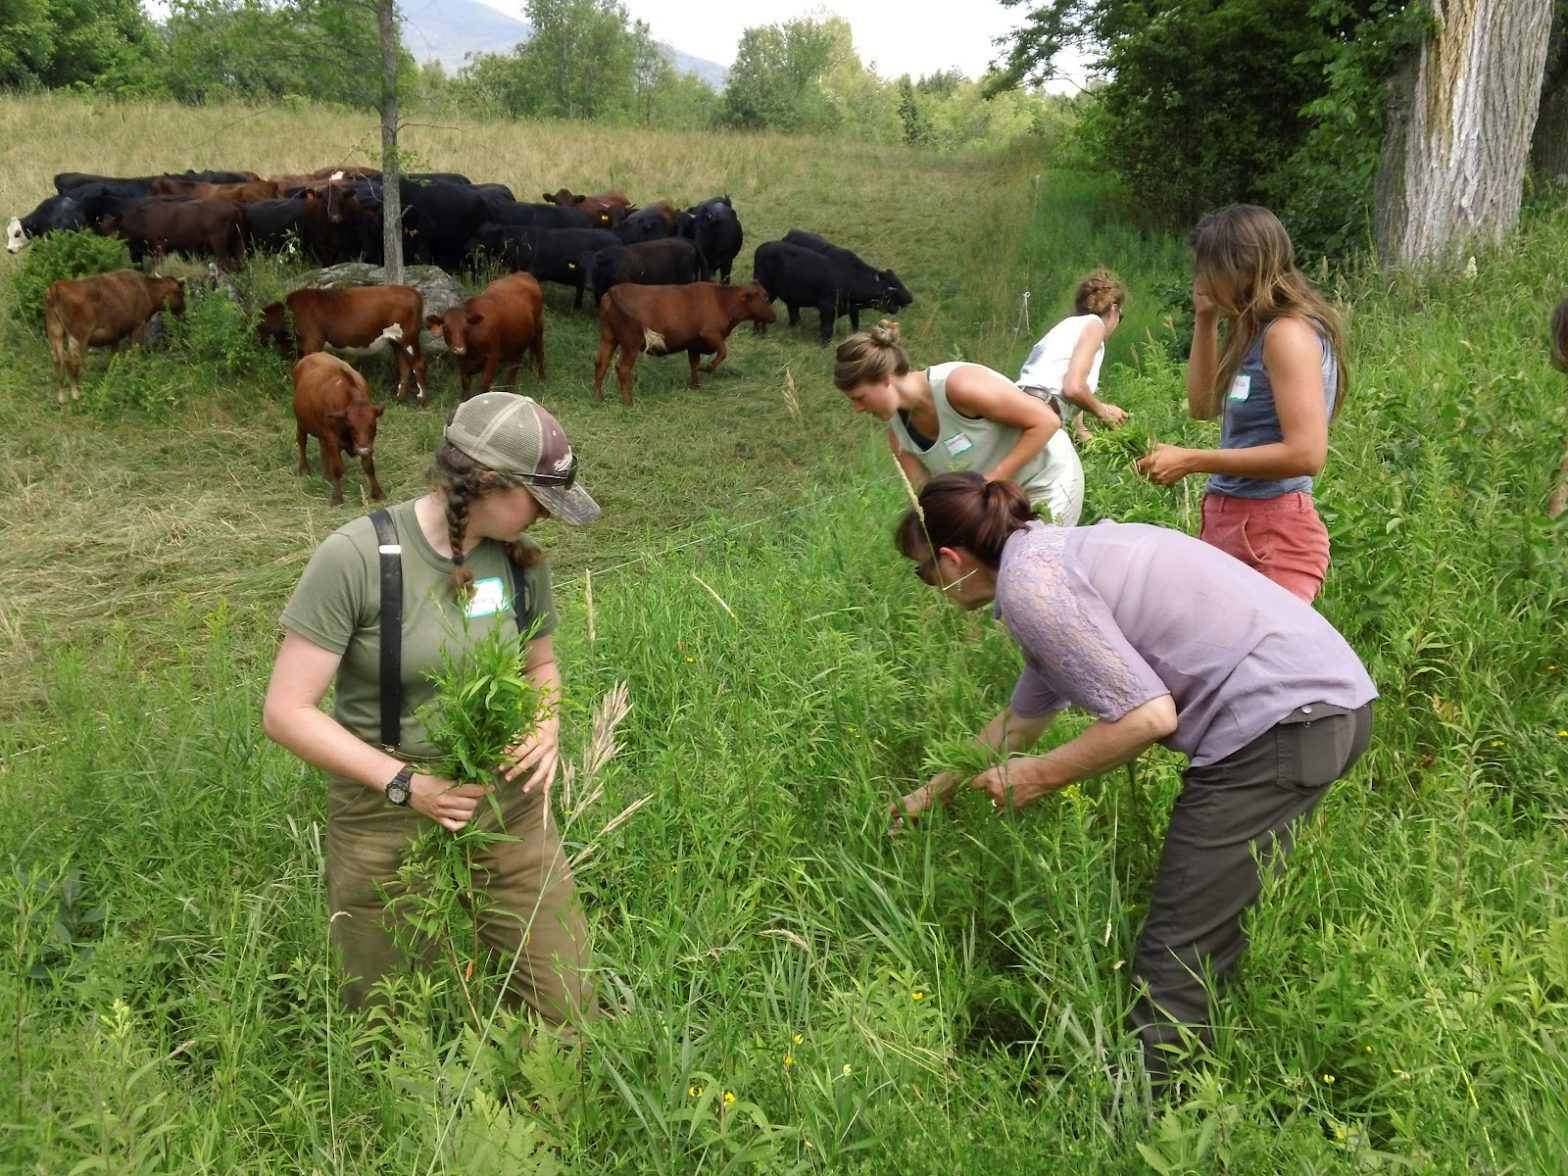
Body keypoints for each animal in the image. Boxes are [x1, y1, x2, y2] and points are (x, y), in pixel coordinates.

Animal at [43, 271, 185, 410]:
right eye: (180, 292)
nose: (183, 310)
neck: (147, 290)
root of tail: (56, 286)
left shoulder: (113, 336)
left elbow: (115, 359)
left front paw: (115, 379)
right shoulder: (138, 325)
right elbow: (134, 354)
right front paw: (135, 377)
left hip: (55, 330)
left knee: (58, 360)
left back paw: (62, 400)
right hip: (79, 334)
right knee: (72, 361)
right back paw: (78, 398)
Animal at [291, 354, 385, 511]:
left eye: (372, 424)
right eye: (351, 425)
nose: (362, 449)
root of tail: (311, 355)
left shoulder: (368, 441)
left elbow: (369, 467)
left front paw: (377, 492)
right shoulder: (333, 438)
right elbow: (337, 468)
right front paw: (336, 497)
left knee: (323, 448)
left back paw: (326, 474)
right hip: (301, 422)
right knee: (302, 441)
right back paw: (304, 468)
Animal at [426, 274, 548, 404]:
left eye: (466, 326)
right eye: (445, 326)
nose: (459, 349)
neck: (471, 349)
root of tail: (524, 274)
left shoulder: (492, 356)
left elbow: (484, 385)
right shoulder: (460, 360)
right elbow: (465, 384)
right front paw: (463, 402)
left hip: (538, 329)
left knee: (540, 354)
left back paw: (541, 380)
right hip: (518, 341)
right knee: (515, 365)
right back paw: (509, 389)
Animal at [592, 280, 777, 404]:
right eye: (766, 298)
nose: (774, 317)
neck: (721, 301)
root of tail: (615, 290)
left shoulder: (694, 344)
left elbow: (694, 364)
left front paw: (695, 386)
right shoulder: (710, 334)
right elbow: (722, 352)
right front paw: (707, 368)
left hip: (608, 338)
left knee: (601, 363)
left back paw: (597, 396)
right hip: (630, 343)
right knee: (622, 368)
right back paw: (628, 401)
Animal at [749, 239, 915, 343]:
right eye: (893, 287)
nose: (910, 298)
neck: (847, 276)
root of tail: (761, 248)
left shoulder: (852, 308)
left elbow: (855, 325)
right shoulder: (827, 307)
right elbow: (827, 330)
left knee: (793, 314)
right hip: (767, 291)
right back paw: (758, 333)